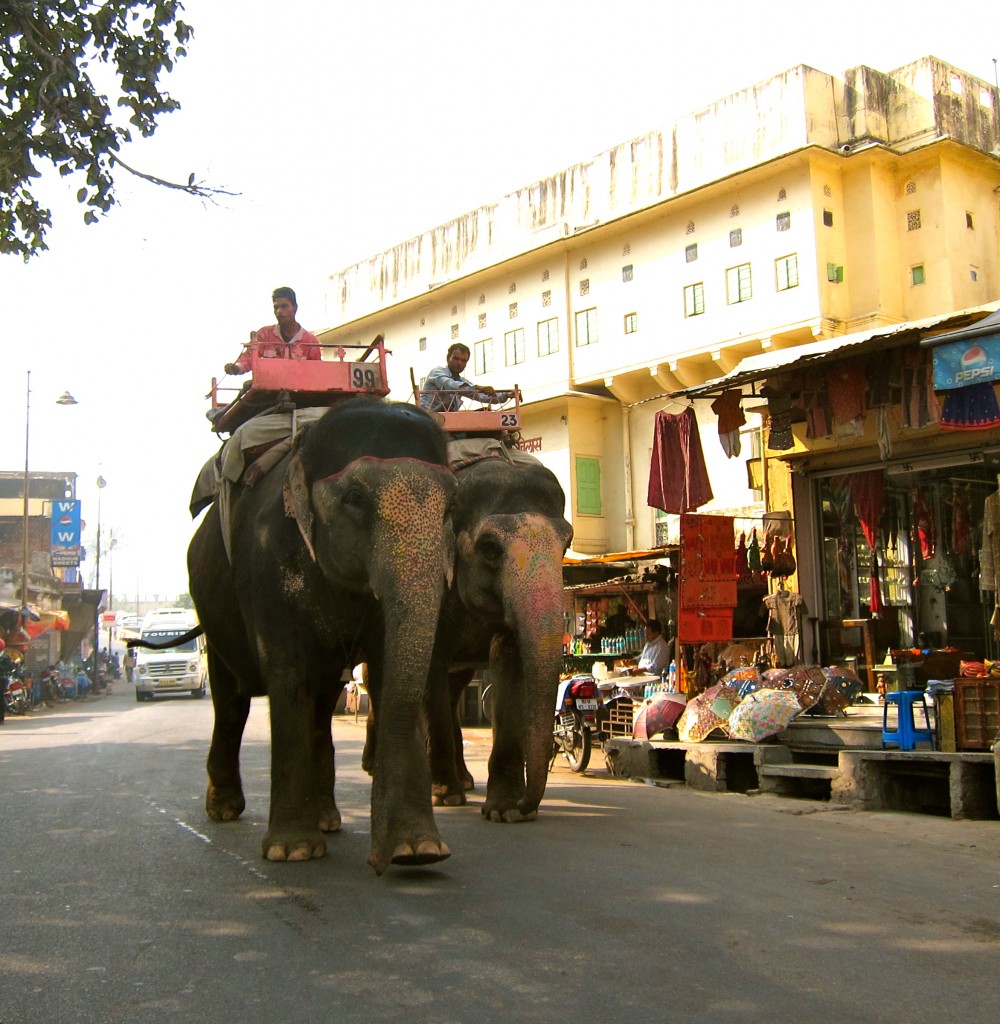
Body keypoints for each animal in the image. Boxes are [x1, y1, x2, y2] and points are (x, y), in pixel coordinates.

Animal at [187, 397, 456, 872]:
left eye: (451, 508)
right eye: (355, 499)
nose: (379, 861)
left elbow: (386, 673)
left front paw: (419, 850)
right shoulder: (266, 566)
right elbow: (287, 673)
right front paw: (291, 852)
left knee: (319, 705)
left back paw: (328, 819)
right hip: (214, 618)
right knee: (231, 700)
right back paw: (224, 809)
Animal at [419, 456, 569, 823]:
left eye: (567, 545)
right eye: (489, 548)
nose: (529, 807)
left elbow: (509, 663)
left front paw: (505, 811)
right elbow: (429, 665)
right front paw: (445, 798)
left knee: (455, 686)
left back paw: (465, 780)